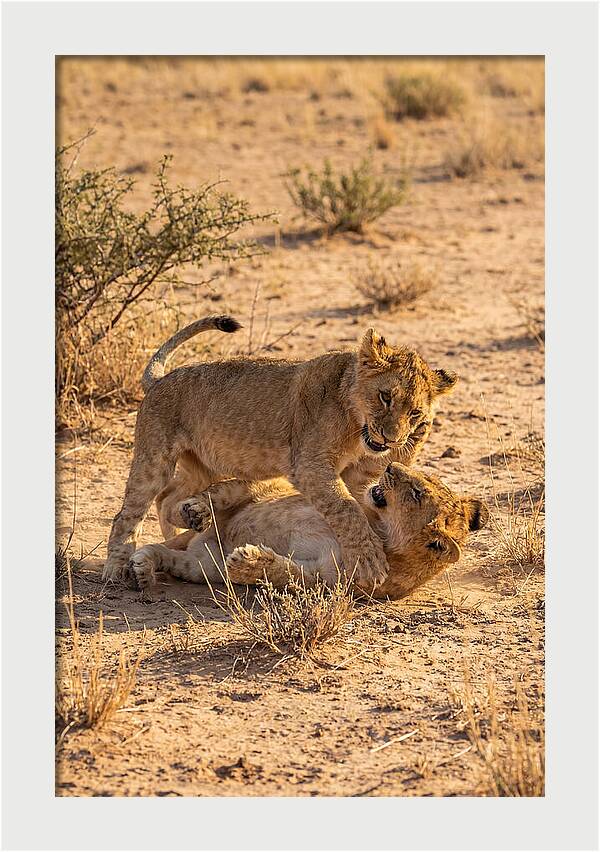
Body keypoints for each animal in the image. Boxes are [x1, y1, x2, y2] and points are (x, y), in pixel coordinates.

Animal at [103, 315, 457, 592]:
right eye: (385, 396)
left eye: (415, 413)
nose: (391, 439)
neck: (356, 425)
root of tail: (160, 379)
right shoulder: (311, 465)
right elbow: (347, 509)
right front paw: (370, 561)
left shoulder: (359, 474)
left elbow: (359, 502)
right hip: (155, 458)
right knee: (128, 513)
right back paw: (117, 568)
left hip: (203, 466)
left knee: (168, 499)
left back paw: (186, 526)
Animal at [128, 462, 489, 600]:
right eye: (421, 479)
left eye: (417, 493)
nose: (389, 466)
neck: (379, 529)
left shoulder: (324, 581)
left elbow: (284, 573)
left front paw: (247, 561)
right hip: (257, 489)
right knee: (220, 492)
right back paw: (193, 512)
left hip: (203, 566)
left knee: (170, 556)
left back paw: (143, 568)